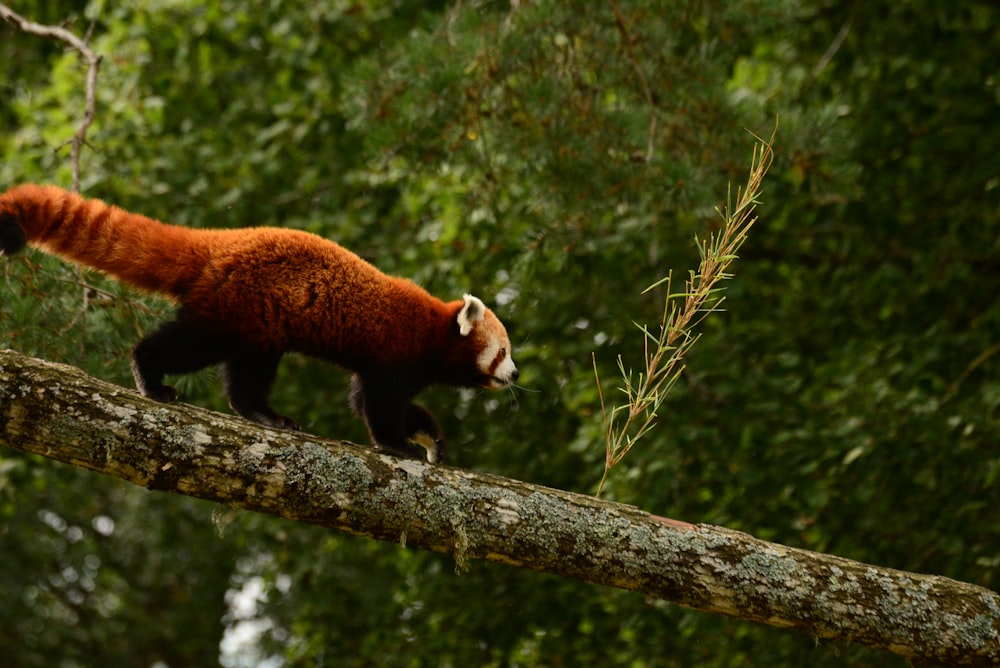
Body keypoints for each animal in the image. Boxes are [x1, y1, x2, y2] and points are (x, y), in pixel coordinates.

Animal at [0, 184, 516, 464]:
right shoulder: (393, 351)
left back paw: (265, 414)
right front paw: (397, 444)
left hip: (262, 326)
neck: (433, 328)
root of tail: (219, 244)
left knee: (245, 377)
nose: (514, 375)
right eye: (504, 352)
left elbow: (372, 401)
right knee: (187, 345)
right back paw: (150, 376)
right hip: (236, 310)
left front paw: (430, 437)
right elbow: (379, 405)